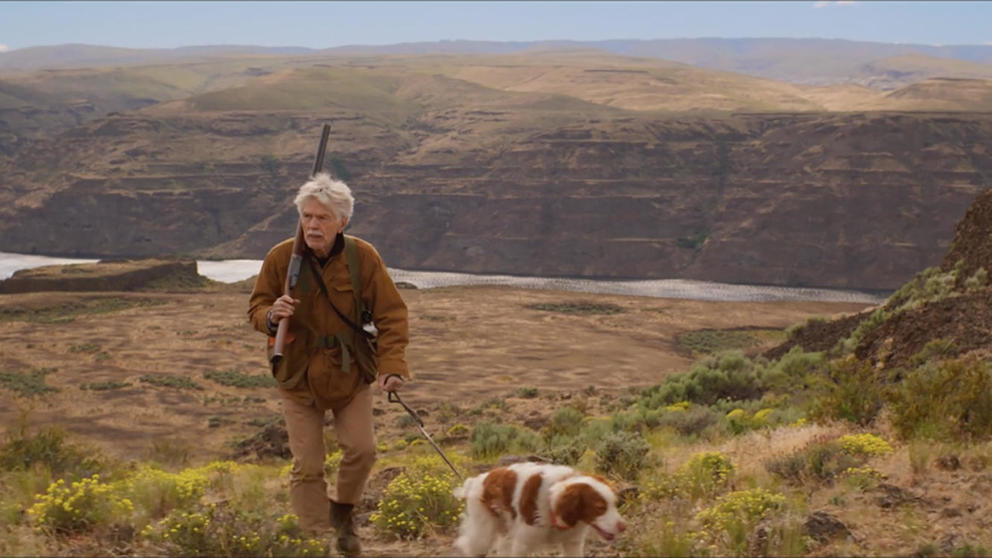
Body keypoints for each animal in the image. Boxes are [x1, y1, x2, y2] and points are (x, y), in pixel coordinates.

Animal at [454, 462, 624, 556]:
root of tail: (477, 480)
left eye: (615, 503)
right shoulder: (522, 545)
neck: (553, 508)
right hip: (482, 536)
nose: (623, 527)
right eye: (600, 507)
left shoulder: (572, 544)